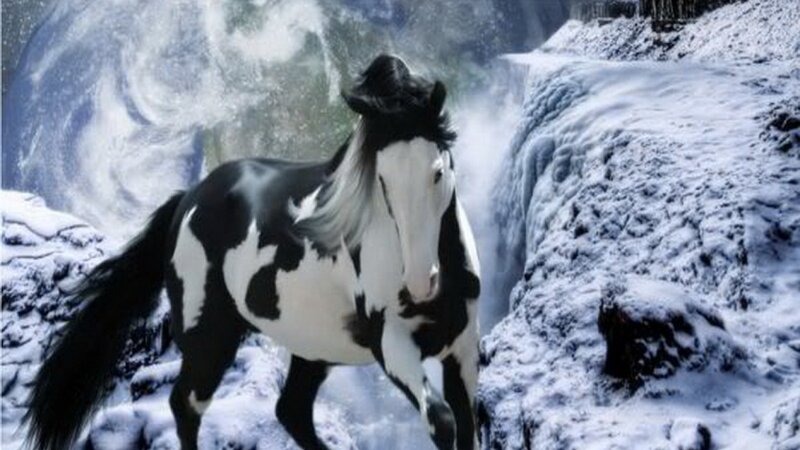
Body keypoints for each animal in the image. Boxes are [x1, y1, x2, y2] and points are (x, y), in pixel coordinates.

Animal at [24, 54, 481, 450]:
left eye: (437, 171)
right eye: (381, 181)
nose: (420, 283)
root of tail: (189, 198)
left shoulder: (461, 351)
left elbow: (466, 423)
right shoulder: (391, 344)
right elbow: (442, 421)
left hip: (310, 345)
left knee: (290, 411)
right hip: (209, 336)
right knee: (185, 404)